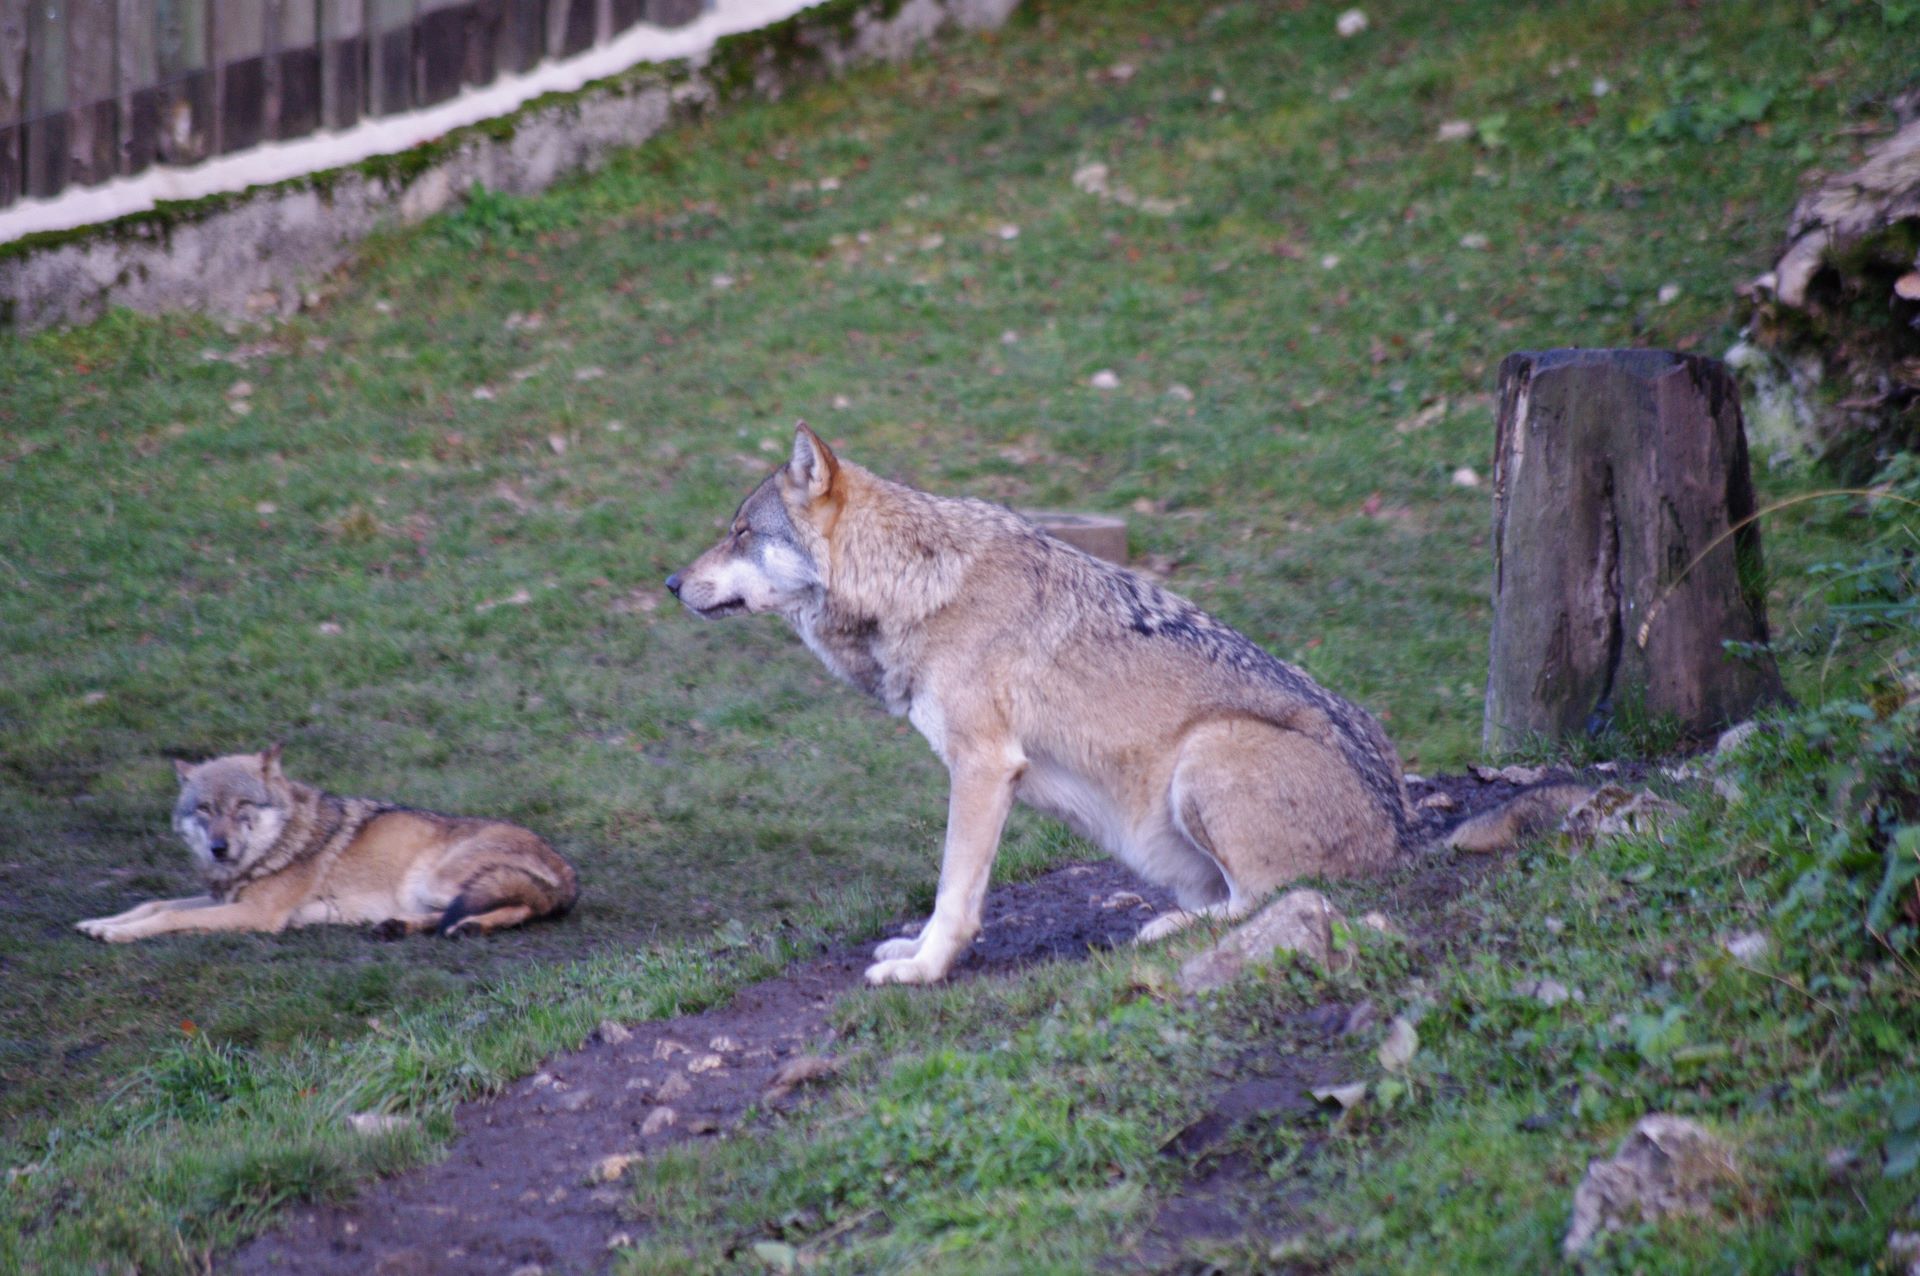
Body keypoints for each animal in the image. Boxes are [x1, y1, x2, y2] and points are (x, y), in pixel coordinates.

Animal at [78, 740, 572, 940]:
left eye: (242, 806)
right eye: (205, 809)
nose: (220, 849)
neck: (280, 843)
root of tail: (567, 871)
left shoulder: (258, 914)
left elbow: (170, 918)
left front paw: (118, 934)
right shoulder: (225, 899)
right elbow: (156, 903)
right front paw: (101, 923)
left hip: (436, 881)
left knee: (523, 907)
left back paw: (467, 927)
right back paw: (402, 927)